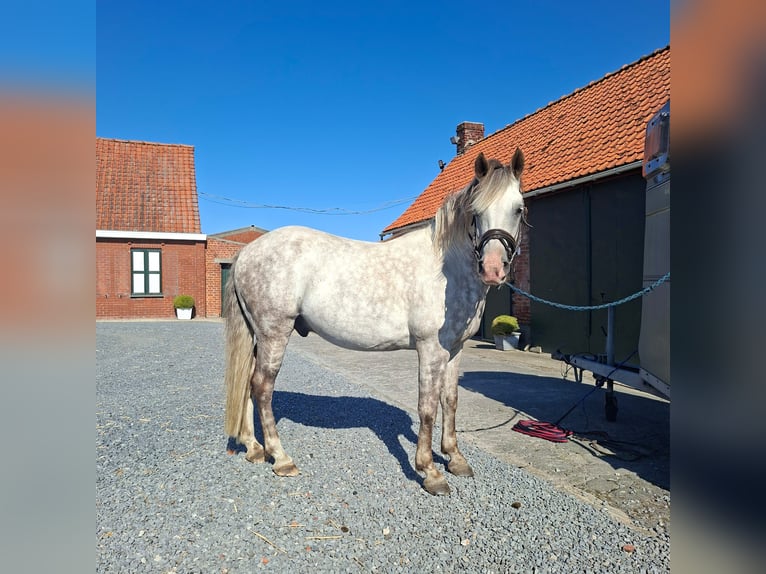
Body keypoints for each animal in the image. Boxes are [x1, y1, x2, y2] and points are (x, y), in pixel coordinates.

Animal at [224, 149, 527, 495]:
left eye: (518, 209)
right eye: (476, 212)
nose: (493, 269)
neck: (445, 269)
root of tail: (248, 252)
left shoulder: (455, 350)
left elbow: (450, 401)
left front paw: (455, 458)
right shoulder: (431, 350)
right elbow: (427, 407)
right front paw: (430, 472)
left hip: (257, 335)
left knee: (247, 383)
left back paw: (253, 448)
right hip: (275, 332)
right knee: (262, 387)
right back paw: (281, 457)